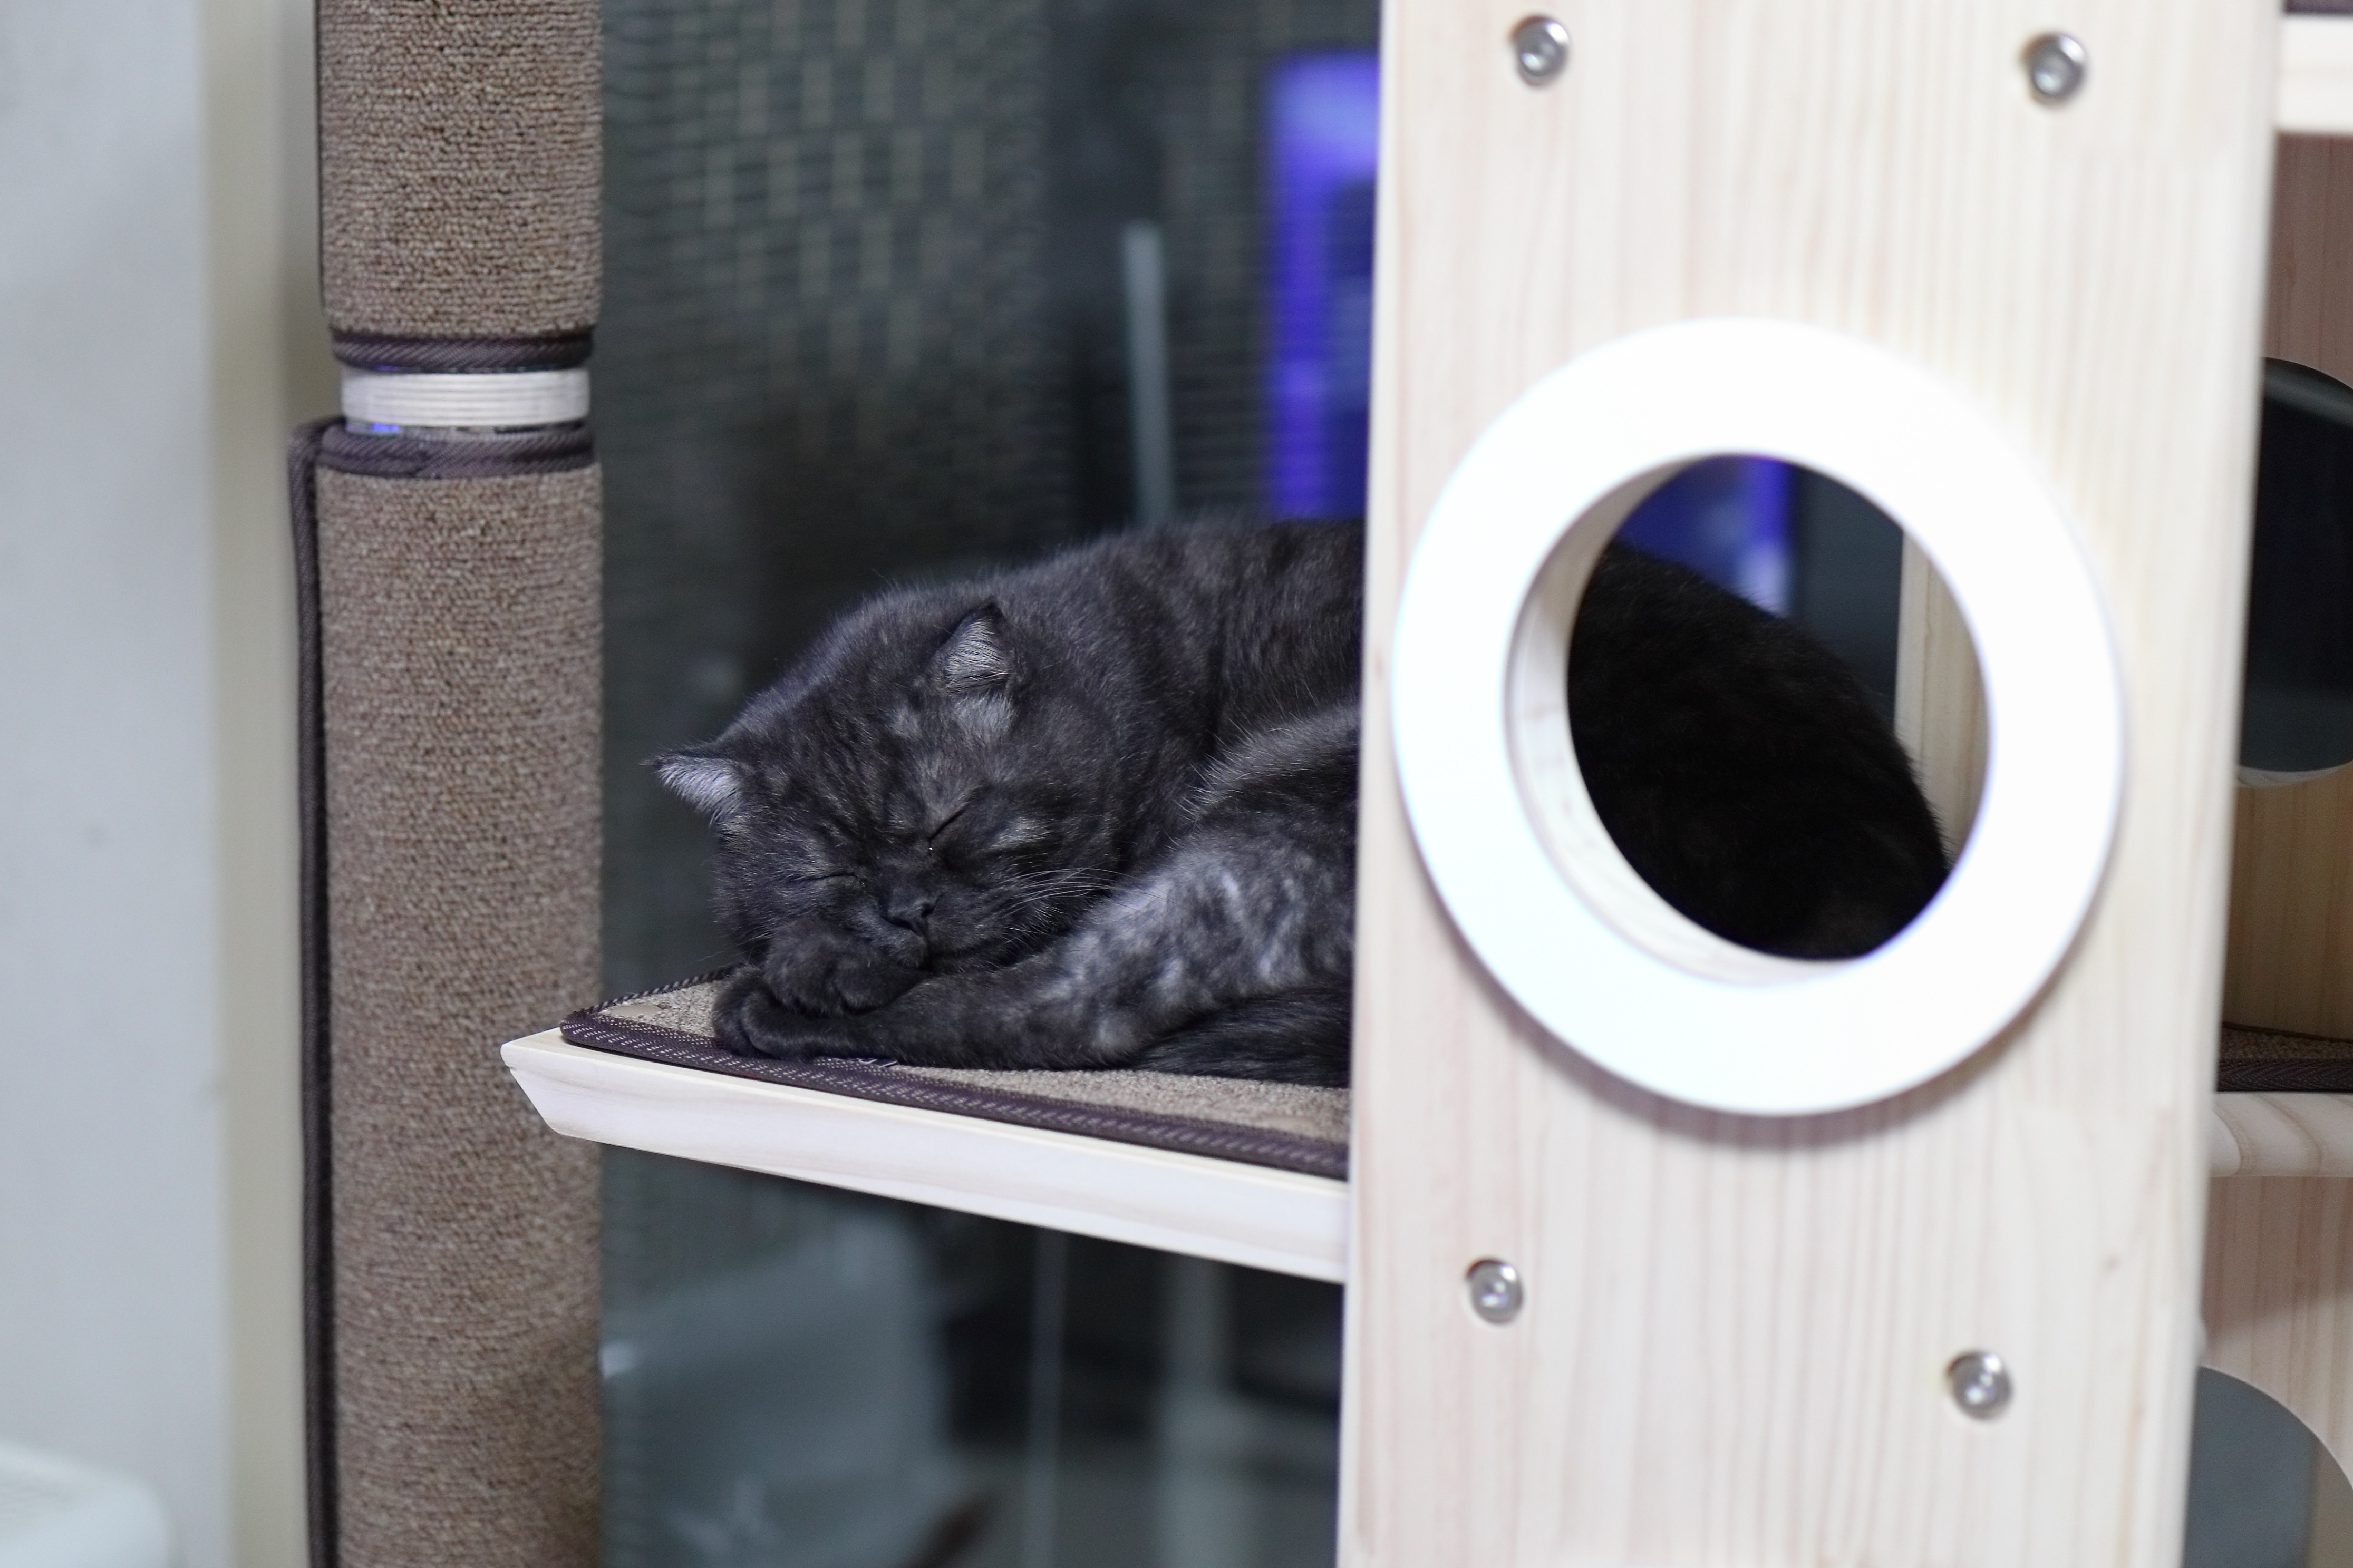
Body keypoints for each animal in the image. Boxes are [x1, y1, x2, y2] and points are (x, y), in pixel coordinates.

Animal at [659, 519, 1948, 1087]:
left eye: (946, 819)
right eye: (828, 868)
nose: (902, 913)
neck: (1115, 677)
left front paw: (816, 965)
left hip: (1282, 809)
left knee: (1073, 1015)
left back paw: (770, 1007)